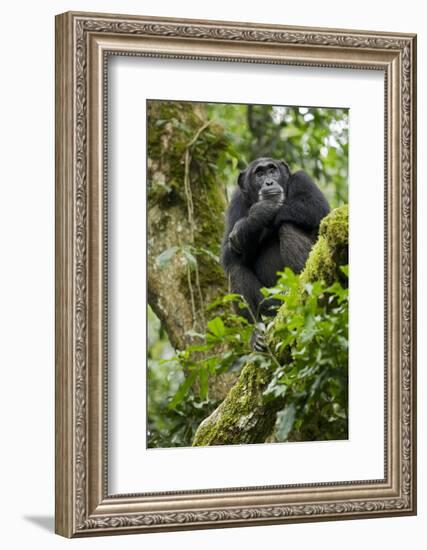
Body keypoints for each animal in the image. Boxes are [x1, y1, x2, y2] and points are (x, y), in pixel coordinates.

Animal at [221, 156, 332, 324]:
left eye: (272, 170)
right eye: (259, 174)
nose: (269, 182)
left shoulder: (303, 179)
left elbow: (316, 207)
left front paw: (258, 213)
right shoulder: (236, 202)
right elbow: (228, 253)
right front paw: (253, 219)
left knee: (287, 226)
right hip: (268, 303)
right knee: (235, 268)